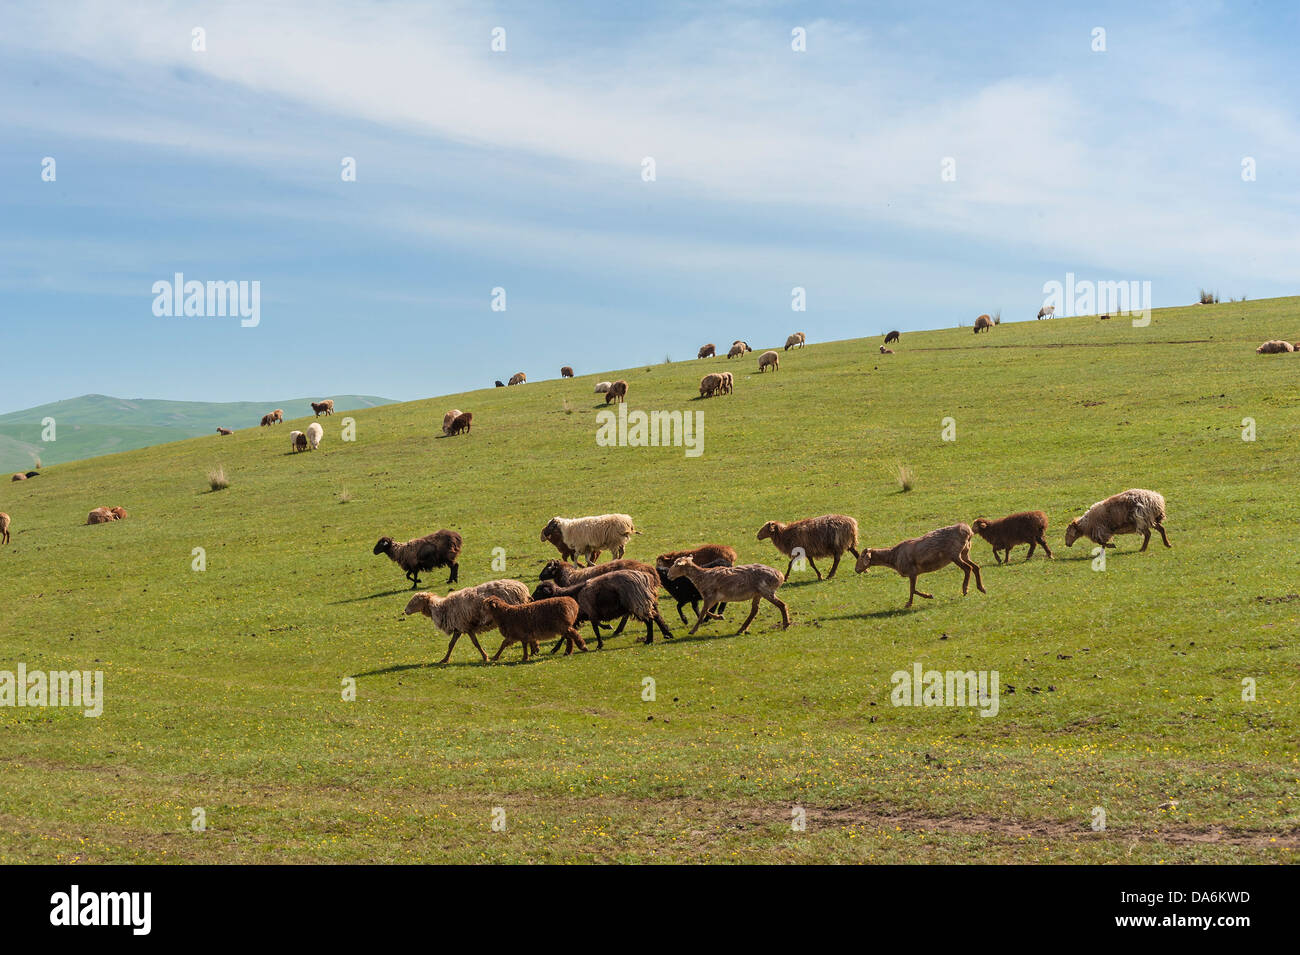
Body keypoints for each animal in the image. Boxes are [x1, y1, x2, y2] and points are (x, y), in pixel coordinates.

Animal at [852, 522, 982, 605]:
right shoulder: (913, 573)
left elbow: (912, 589)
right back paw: (981, 588)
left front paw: (915, 601)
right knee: (976, 566)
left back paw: (965, 589)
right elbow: (913, 589)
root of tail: (968, 531)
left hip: (955, 554)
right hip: (965, 552)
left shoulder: (912, 572)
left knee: (968, 568)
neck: (893, 557)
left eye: (861, 557)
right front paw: (923, 598)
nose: (856, 569)